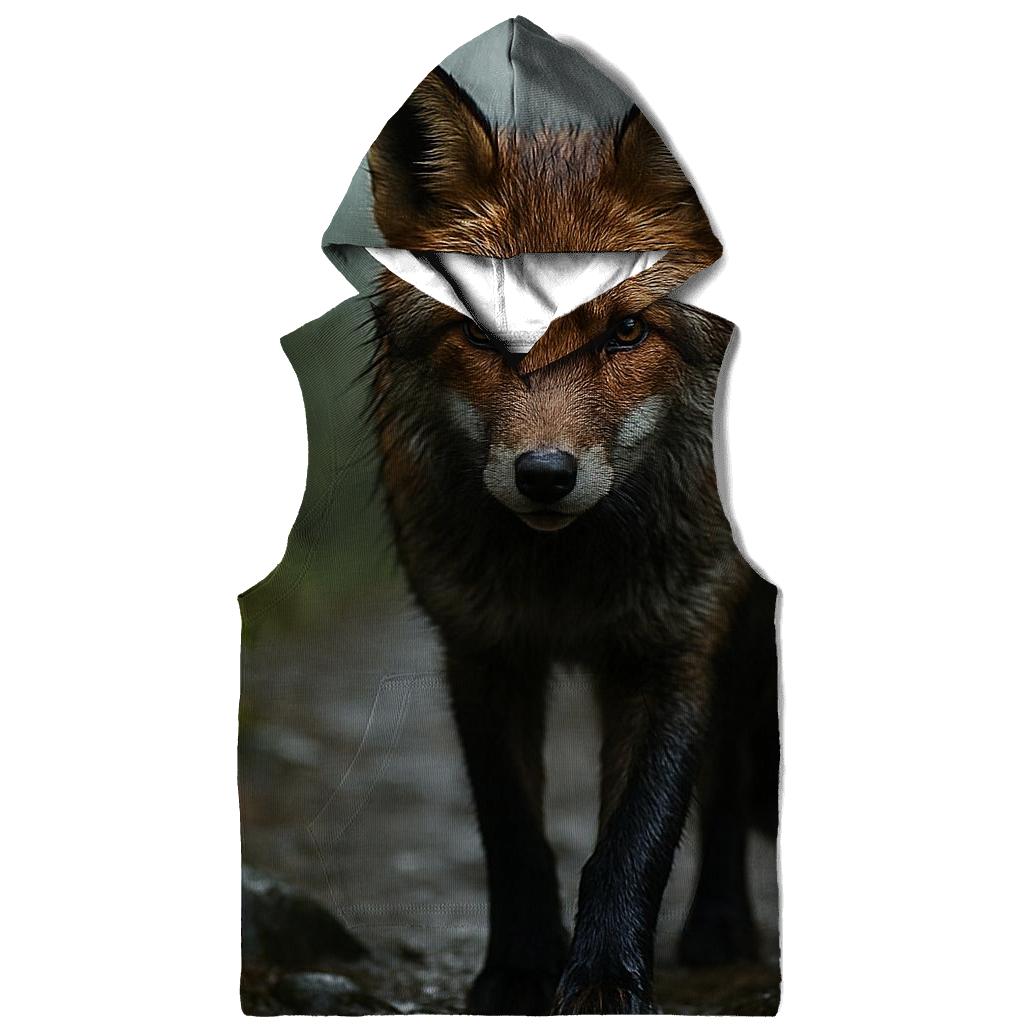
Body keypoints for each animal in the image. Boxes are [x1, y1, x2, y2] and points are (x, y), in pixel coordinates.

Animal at [364, 68, 779, 1014]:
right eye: (483, 330)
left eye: (625, 331)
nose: (545, 474)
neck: (569, 579)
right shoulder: (480, 646)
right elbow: (515, 831)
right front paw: (519, 969)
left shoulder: (676, 641)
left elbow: (638, 837)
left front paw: (603, 980)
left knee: (731, 786)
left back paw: (721, 924)